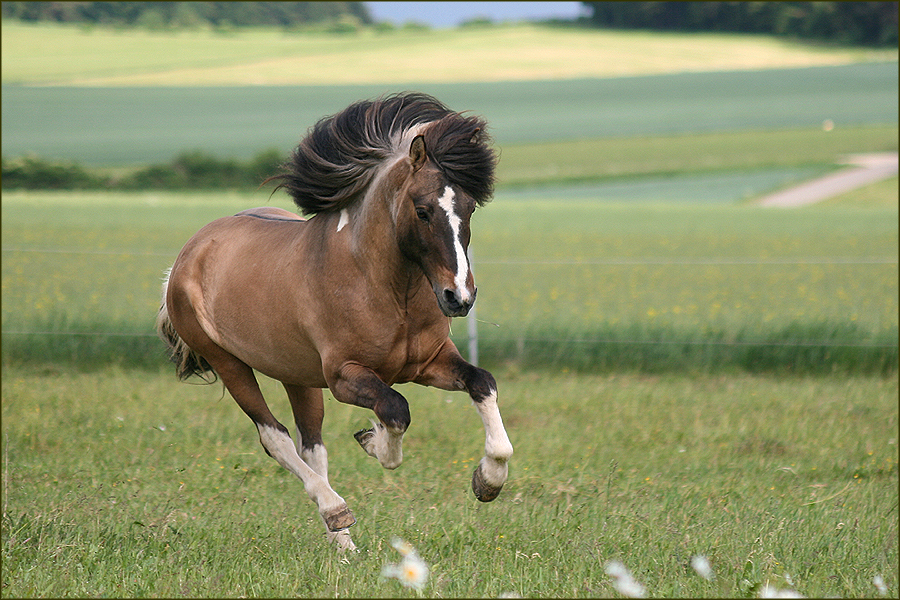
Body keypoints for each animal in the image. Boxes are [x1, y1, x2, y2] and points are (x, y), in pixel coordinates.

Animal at [155, 92, 512, 548]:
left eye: (469, 208)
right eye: (423, 210)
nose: (459, 298)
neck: (383, 287)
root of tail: (187, 255)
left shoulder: (430, 362)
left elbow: (482, 382)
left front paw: (488, 480)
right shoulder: (344, 376)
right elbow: (395, 409)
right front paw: (374, 444)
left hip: (296, 373)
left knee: (312, 445)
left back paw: (343, 545)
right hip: (229, 363)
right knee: (276, 438)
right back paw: (336, 511)